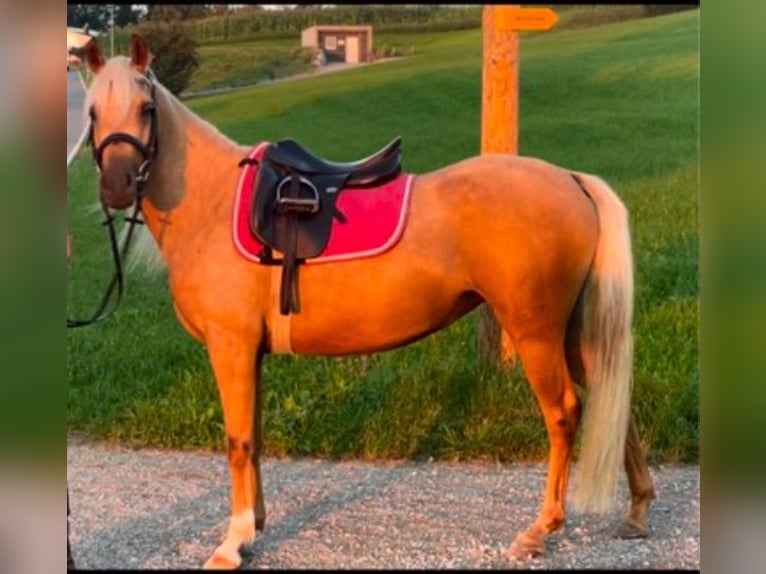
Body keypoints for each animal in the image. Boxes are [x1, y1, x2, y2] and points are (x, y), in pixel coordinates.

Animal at [82, 37, 660, 572]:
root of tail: (571, 180)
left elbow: (239, 440)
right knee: (611, 392)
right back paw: (637, 512)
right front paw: (257, 525)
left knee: (563, 413)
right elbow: (257, 437)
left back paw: (541, 529)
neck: (212, 203)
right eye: (91, 113)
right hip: (571, 332)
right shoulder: (251, 353)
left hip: (535, 331)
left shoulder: (232, 346)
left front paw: (233, 542)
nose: (116, 187)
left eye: (147, 108)